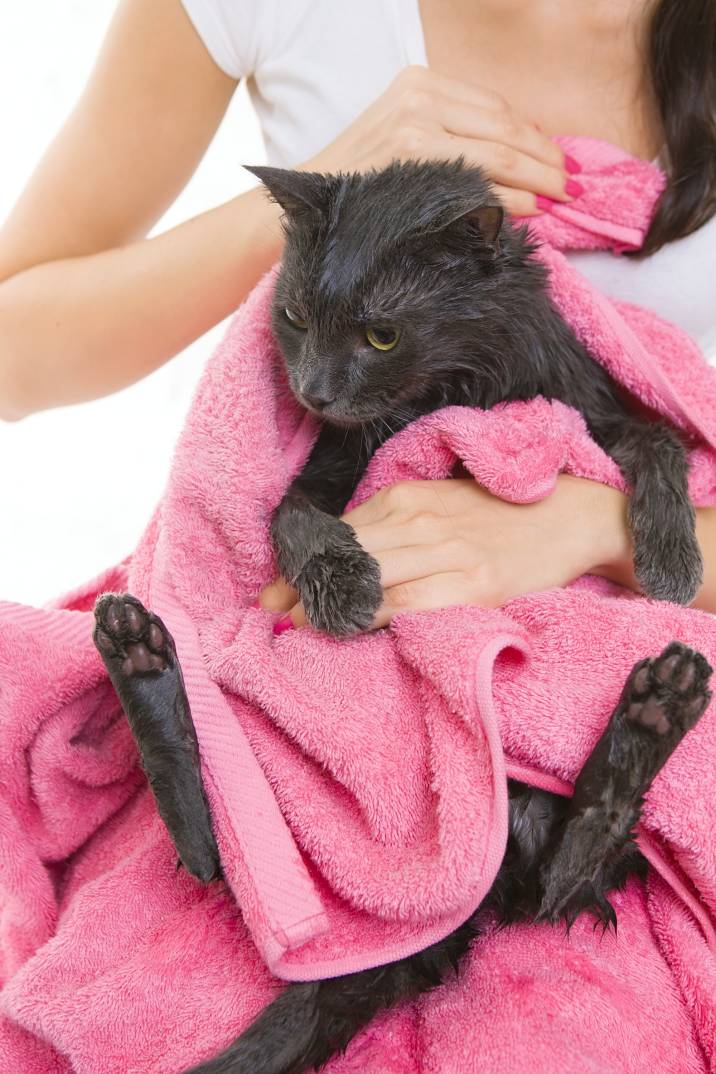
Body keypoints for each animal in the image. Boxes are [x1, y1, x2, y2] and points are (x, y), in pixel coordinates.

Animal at [93, 158, 712, 1074]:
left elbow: (662, 449)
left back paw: (663, 698)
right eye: (296, 318)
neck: (445, 391)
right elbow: (290, 517)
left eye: (382, 336)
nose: (311, 390)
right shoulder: (325, 466)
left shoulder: (600, 411)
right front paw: (343, 581)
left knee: (564, 873)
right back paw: (134, 643)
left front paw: (671, 560)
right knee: (215, 851)